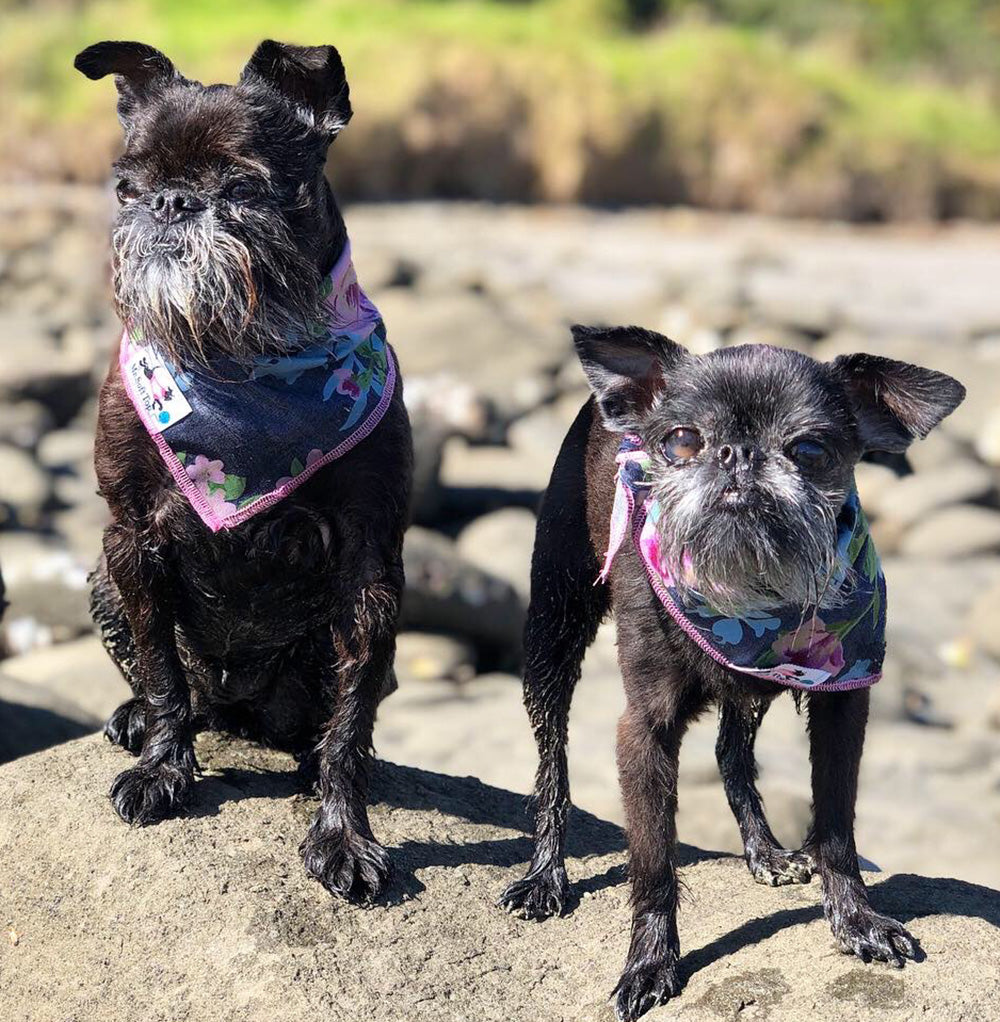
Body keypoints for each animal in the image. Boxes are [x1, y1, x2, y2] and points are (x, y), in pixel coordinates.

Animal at [73, 39, 408, 903]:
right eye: (126, 187)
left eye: (243, 187)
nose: (169, 204)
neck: (238, 353)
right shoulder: (131, 541)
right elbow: (161, 670)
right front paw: (162, 768)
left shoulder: (369, 573)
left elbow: (350, 723)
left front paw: (343, 833)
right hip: (101, 580)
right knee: (181, 690)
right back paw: (141, 721)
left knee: (326, 722)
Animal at [503, 331, 961, 1017]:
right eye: (681, 440)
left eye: (810, 450)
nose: (737, 454)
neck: (750, 586)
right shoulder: (644, 728)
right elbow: (653, 859)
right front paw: (650, 962)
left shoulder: (841, 704)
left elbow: (836, 824)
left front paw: (854, 919)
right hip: (554, 629)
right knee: (551, 763)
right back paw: (545, 873)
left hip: (751, 689)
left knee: (729, 749)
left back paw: (764, 851)